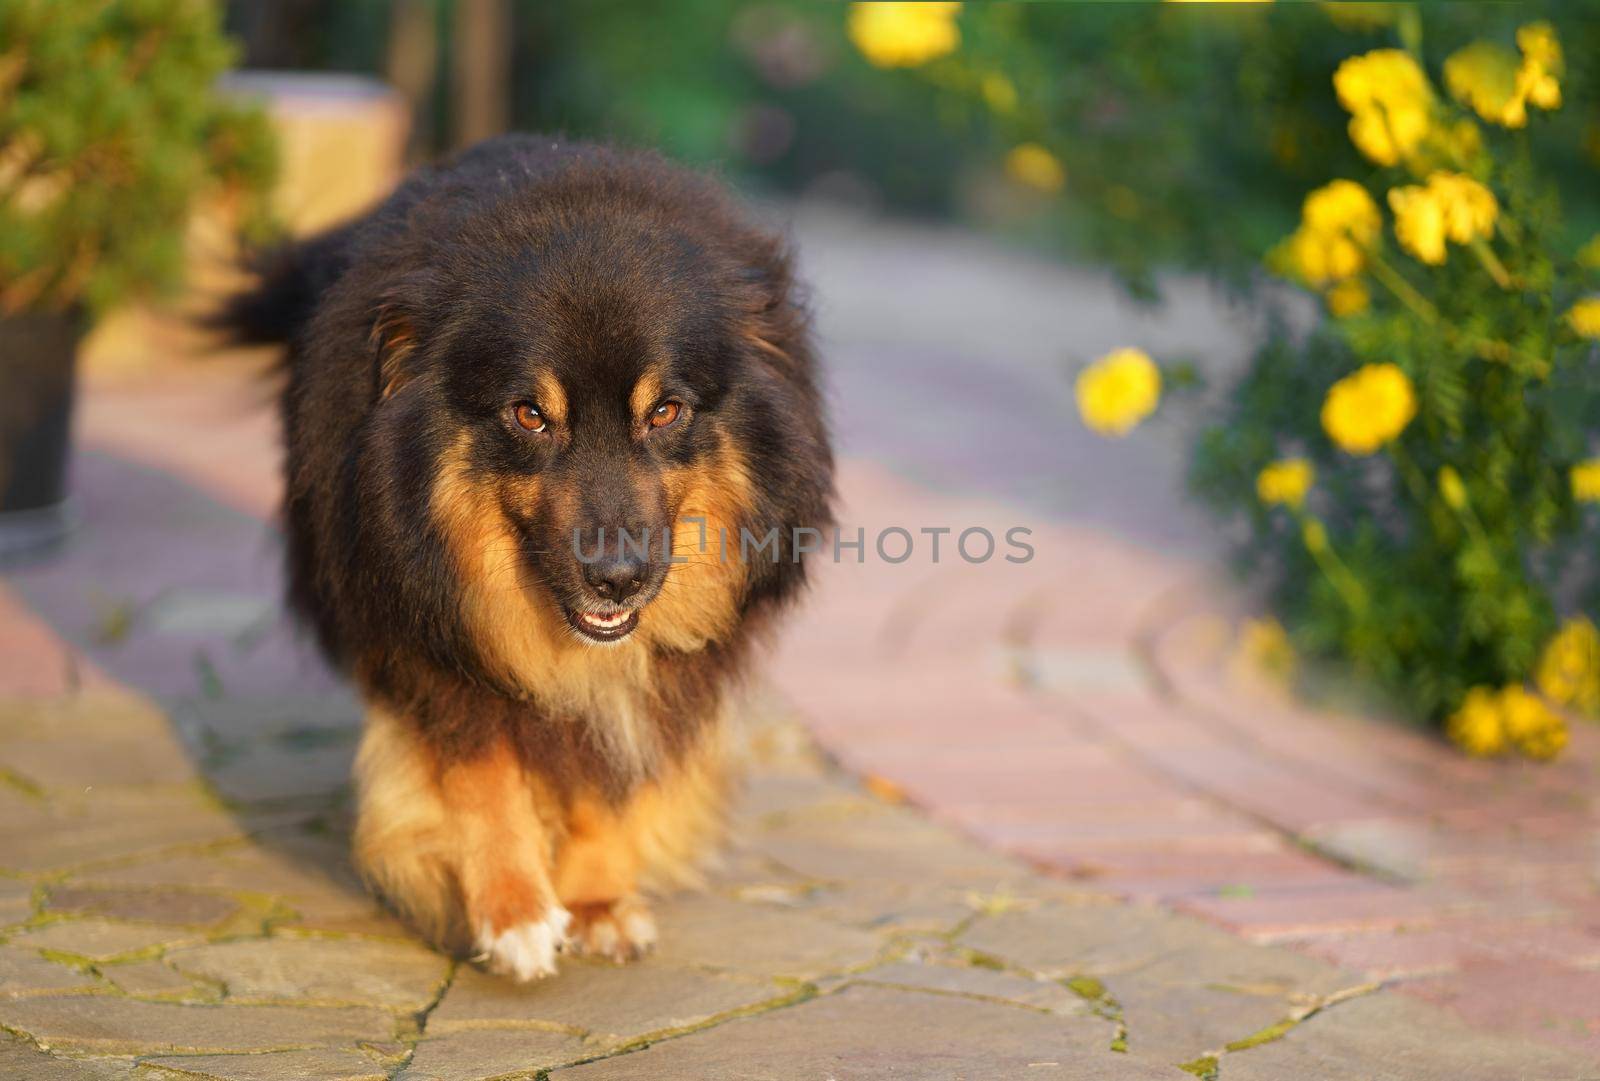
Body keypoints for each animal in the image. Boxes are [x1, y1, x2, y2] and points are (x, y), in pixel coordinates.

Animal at [225, 135, 838, 978]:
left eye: (666, 411)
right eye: (529, 415)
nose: (617, 577)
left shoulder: (645, 673)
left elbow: (608, 772)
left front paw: (597, 900)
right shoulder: (426, 631)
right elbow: (483, 770)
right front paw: (512, 910)